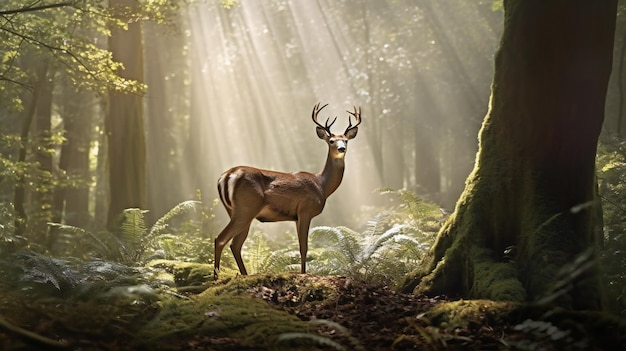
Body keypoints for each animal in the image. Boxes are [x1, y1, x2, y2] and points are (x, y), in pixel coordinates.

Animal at [213, 102, 360, 280]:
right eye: (331, 141)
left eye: (346, 140)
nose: (341, 149)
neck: (322, 185)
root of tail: (226, 176)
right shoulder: (305, 210)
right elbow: (304, 247)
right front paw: (303, 273)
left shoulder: (296, 217)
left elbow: (300, 246)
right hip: (246, 208)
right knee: (221, 239)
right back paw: (215, 278)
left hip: (235, 211)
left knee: (235, 244)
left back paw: (244, 275)